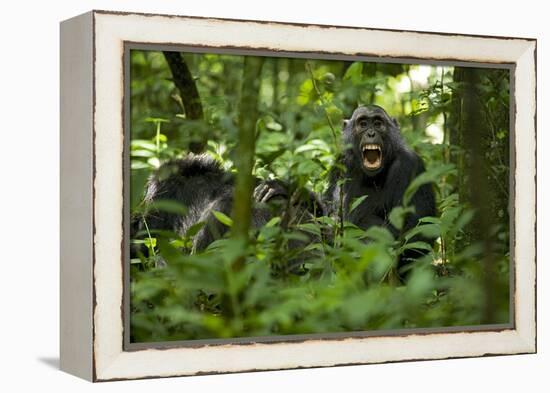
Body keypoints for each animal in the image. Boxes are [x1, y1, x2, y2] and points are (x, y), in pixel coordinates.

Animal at [326, 102, 438, 272]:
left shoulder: (409, 165)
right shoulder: (341, 161)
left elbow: (413, 228)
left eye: (378, 124)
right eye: (363, 124)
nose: (371, 133)